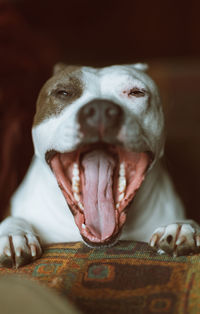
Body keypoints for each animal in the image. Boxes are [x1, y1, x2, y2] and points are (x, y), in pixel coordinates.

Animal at [0, 63, 199, 268]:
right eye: (63, 92)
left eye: (136, 92)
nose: (101, 109)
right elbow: (12, 219)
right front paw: (13, 233)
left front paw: (181, 226)